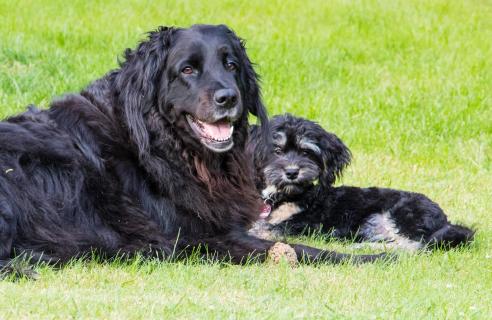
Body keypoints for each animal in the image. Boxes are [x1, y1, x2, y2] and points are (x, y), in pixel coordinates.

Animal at [0, 25, 388, 276]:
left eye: (231, 65)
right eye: (187, 69)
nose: (228, 98)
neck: (157, 145)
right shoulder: (198, 238)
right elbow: (299, 250)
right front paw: (373, 259)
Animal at [248, 112, 474, 250]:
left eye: (306, 152)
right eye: (277, 151)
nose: (292, 172)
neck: (282, 195)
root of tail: (445, 220)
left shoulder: (308, 223)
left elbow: (270, 228)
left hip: (401, 214)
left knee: (415, 245)